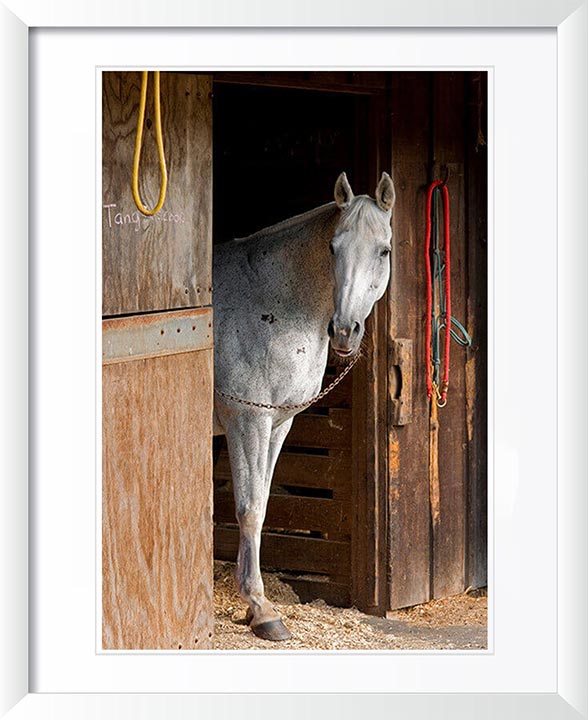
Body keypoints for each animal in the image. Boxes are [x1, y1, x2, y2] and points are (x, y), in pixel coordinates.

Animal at [212, 171, 395, 641]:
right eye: (333, 246)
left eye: (383, 250)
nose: (345, 331)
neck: (269, 302)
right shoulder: (248, 421)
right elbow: (250, 508)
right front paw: (261, 610)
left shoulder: (278, 425)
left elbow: (260, 503)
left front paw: (254, 605)